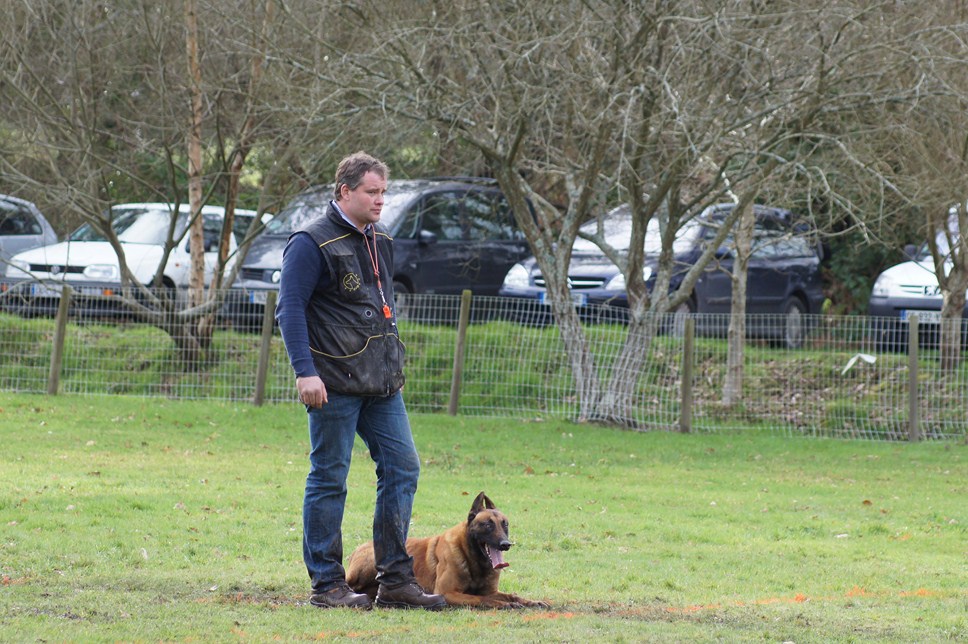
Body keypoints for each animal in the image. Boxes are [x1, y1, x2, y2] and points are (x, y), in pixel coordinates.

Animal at [344, 494, 548, 608]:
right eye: (488, 525)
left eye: (505, 524)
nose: (506, 544)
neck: (474, 561)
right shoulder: (448, 593)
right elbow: (480, 599)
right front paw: (506, 605)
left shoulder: (490, 591)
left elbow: (512, 595)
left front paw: (531, 602)